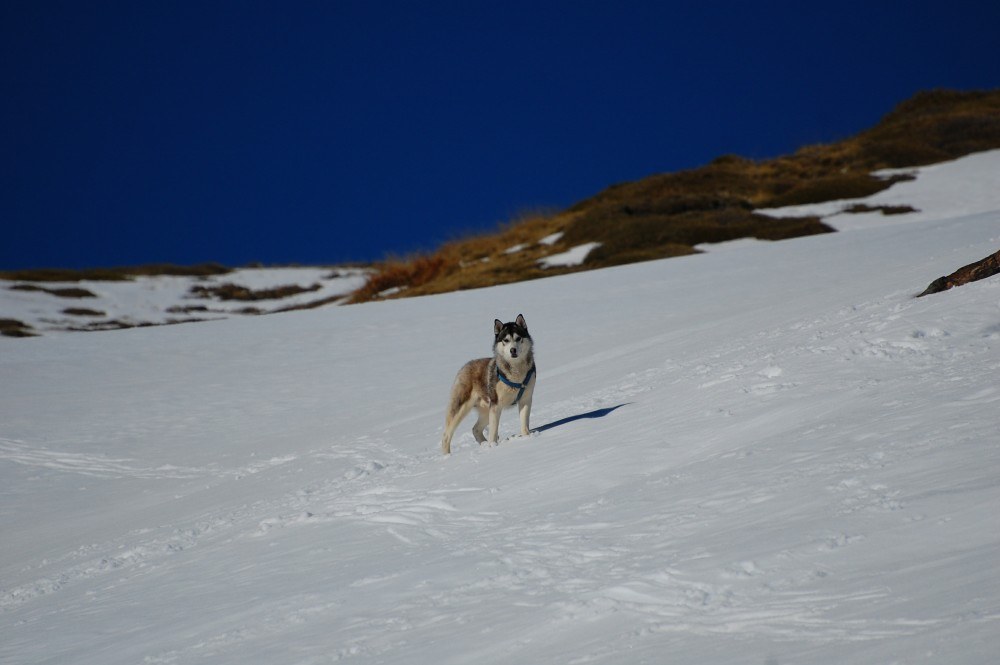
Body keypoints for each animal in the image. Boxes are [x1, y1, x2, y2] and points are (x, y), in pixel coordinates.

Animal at [442, 314, 536, 454]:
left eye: (518, 338)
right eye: (505, 340)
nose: (513, 350)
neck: (516, 374)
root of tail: (466, 365)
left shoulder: (525, 399)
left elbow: (524, 423)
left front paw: (527, 437)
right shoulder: (496, 405)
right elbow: (493, 430)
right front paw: (493, 446)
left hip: (486, 410)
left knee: (475, 429)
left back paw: (484, 444)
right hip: (461, 408)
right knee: (446, 435)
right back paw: (447, 456)